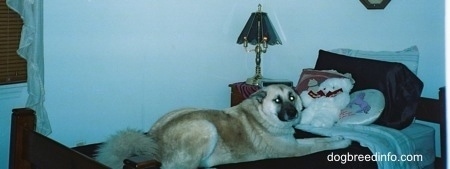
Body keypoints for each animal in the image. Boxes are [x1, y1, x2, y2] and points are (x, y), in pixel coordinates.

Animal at [96, 84, 352, 169]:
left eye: (292, 97)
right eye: (277, 101)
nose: (294, 113)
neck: (262, 116)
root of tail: (152, 139)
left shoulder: (295, 140)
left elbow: (319, 139)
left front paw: (340, 137)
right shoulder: (294, 149)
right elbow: (319, 145)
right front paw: (344, 142)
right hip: (206, 127)